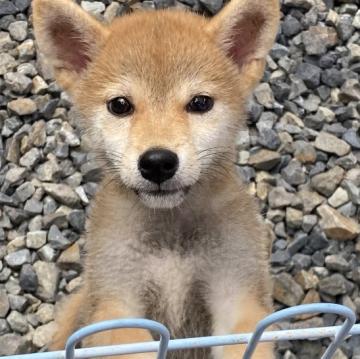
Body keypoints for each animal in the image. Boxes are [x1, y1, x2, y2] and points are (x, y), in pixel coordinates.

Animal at [32, 0, 280, 358]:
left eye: (200, 103)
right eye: (120, 105)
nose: (158, 162)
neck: (170, 235)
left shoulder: (237, 295)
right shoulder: (116, 304)